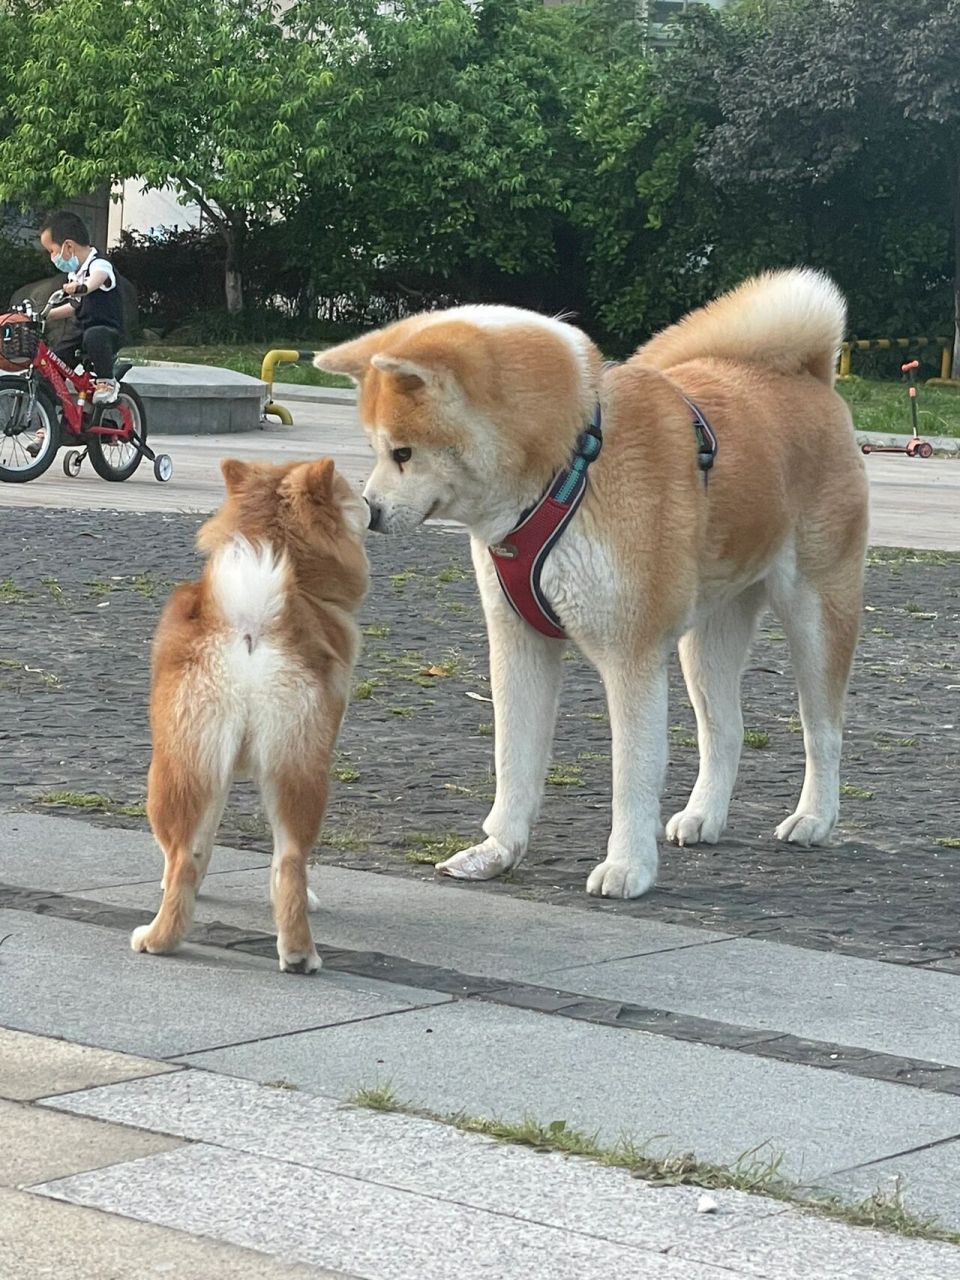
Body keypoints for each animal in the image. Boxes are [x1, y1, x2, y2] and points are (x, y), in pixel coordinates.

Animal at [129, 460, 366, 967]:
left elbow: (194, 851)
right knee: (290, 860)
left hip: (172, 771)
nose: (372, 504)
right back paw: (297, 953)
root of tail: (253, 623)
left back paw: (159, 938)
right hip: (295, 768)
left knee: (184, 857)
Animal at [317, 267, 870, 901]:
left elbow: (631, 773)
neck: (567, 466)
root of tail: (810, 377)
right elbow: (514, 761)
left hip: (816, 614)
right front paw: (497, 851)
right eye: (375, 451)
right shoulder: (518, 643)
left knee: (822, 729)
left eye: (403, 453)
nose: (370, 512)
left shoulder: (631, 656)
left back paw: (815, 817)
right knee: (724, 730)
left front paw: (628, 866)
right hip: (708, 637)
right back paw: (704, 815)